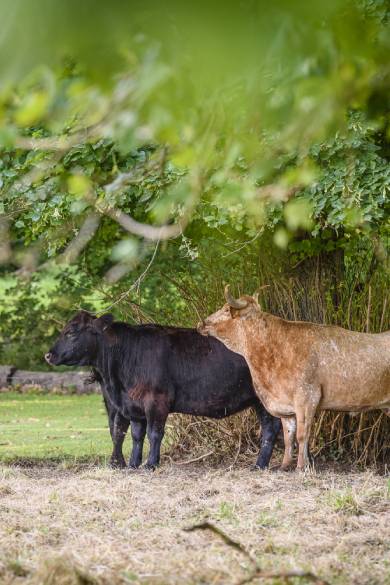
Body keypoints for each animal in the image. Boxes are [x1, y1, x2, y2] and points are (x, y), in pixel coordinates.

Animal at [45, 310, 280, 470]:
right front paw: (133, 464)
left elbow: (154, 433)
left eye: (72, 332)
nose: (48, 355)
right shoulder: (133, 406)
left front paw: (150, 464)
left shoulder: (156, 401)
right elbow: (136, 435)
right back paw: (261, 465)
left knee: (274, 427)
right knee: (271, 428)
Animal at [200, 286, 388, 468]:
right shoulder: (286, 407)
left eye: (226, 309)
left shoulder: (307, 397)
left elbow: (302, 436)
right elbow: (288, 437)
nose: (202, 323)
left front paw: (301, 467)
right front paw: (284, 466)